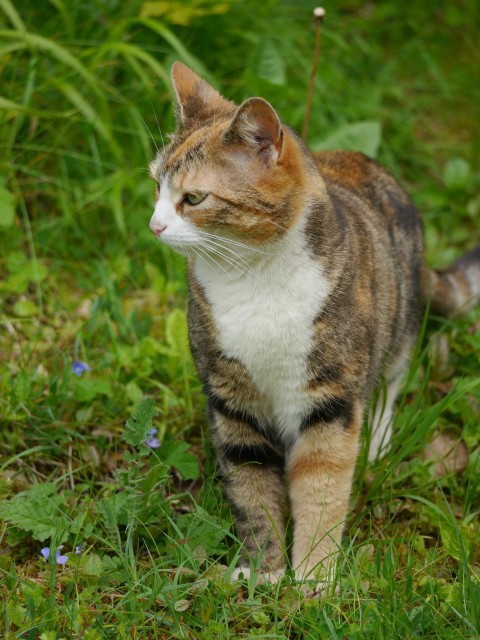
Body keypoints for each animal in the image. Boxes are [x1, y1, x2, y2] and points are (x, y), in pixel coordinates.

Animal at [148, 62, 478, 588]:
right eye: (157, 186)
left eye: (193, 198)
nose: (154, 225)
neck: (253, 280)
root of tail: (369, 163)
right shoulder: (231, 398)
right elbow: (251, 485)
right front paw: (262, 572)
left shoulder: (330, 398)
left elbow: (322, 485)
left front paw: (314, 579)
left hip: (399, 327)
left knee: (389, 383)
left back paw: (377, 443)